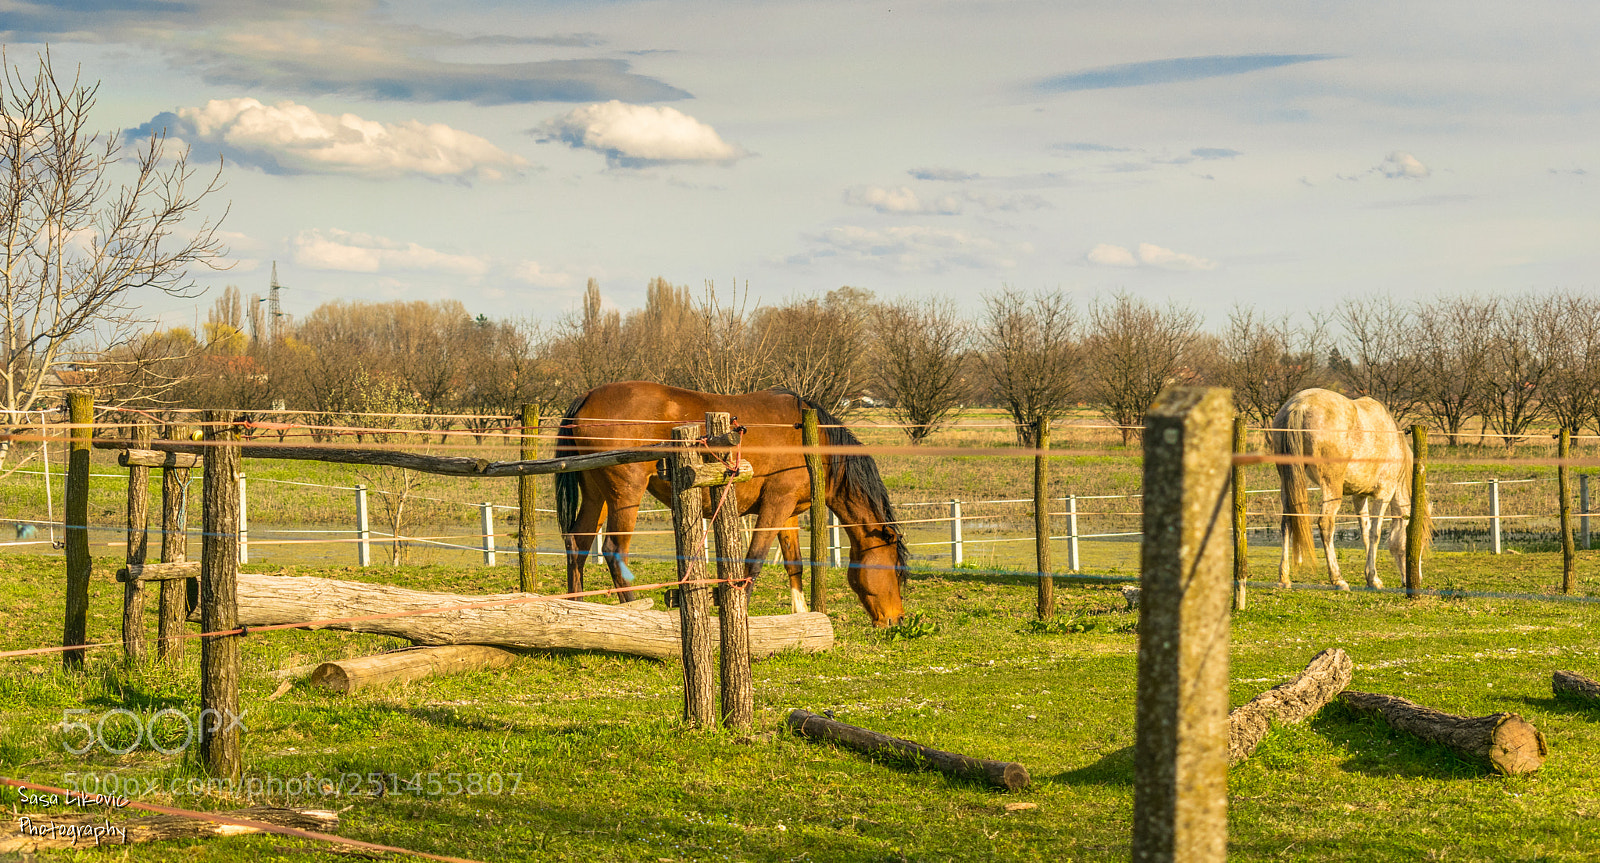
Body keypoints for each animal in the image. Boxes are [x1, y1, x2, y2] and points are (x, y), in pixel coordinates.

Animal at [553, 382, 908, 626]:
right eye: (894, 568)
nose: (897, 619)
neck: (813, 442)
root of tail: (586, 399)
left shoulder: (788, 512)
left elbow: (794, 564)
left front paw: (801, 615)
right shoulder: (775, 507)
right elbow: (753, 563)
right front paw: (740, 614)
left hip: (597, 495)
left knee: (578, 545)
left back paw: (577, 606)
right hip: (626, 496)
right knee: (614, 551)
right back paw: (632, 610)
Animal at [1269, 388, 1431, 590]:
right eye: (1421, 543)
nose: (1419, 578)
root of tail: (1300, 405)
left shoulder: (1359, 496)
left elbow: (1365, 532)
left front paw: (1371, 577)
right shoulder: (1384, 493)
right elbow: (1375, 533)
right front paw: (1374, 578)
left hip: (1288, 482)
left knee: (1287, 523)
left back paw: (1284, 578)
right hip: (1331, 488)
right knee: (1326, 524)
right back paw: (1337, 579)